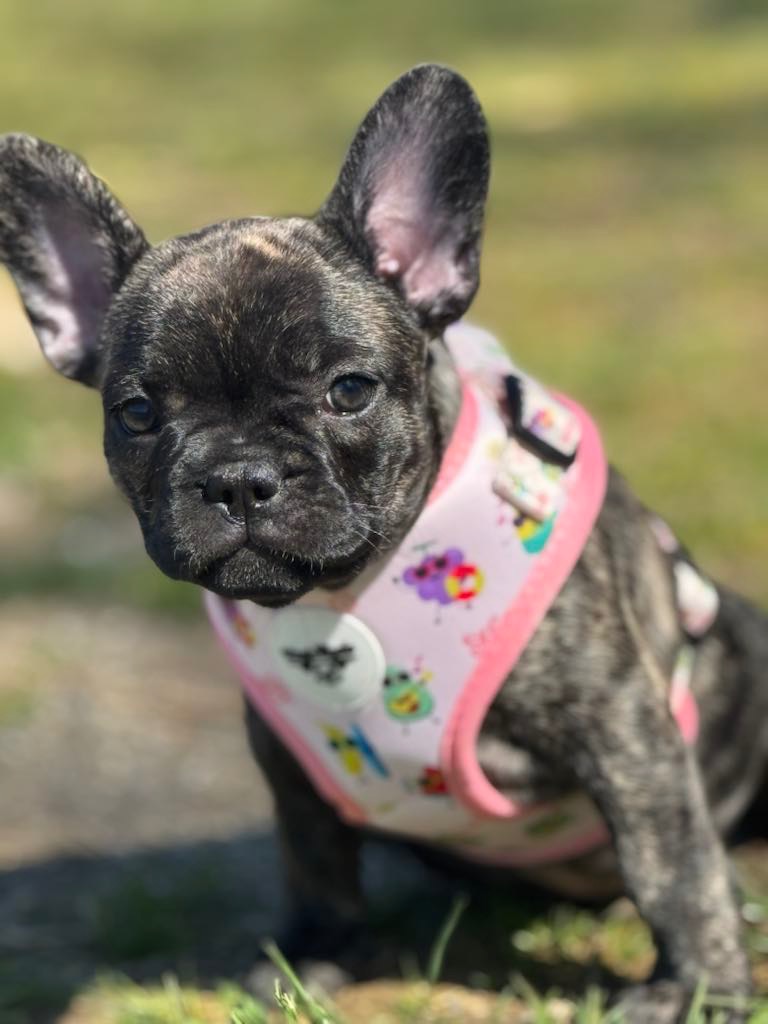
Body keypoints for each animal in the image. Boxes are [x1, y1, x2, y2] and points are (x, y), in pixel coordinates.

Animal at [1, 65, 767, 1022]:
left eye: (350, 391)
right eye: (136, 414)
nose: (239, 476)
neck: (345, 596)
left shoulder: (622, 728)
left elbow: (671, 863)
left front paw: (698, 989)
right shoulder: (290, 760)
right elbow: (314, 859)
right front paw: (319, 955)